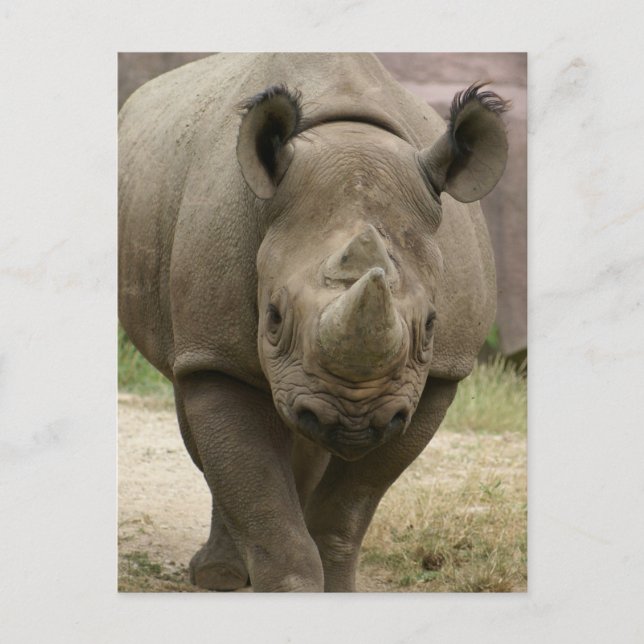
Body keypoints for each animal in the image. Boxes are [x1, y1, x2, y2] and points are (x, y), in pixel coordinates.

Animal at [118, 53, 508, 592]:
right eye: (274, 317)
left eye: (431, 326)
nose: (351, 419)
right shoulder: (215, 352)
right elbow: (256, 488)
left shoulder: (436, 378)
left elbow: (349, 507)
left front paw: (336, 588)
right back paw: (218, 576)